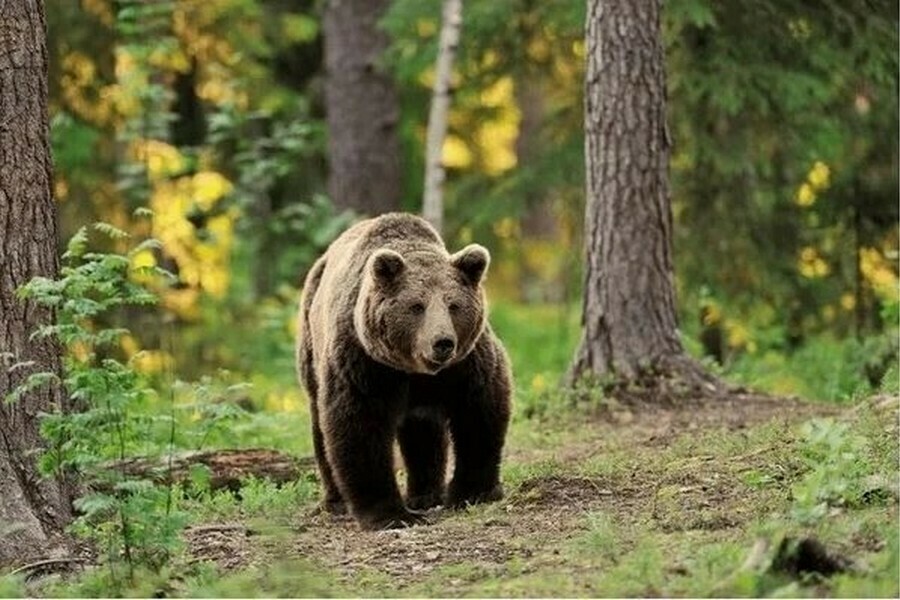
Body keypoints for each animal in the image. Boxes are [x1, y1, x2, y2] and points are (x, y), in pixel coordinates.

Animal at [296, 213, 512, 530]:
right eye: (417, 306)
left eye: (453, 305)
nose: (442, 343)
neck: (414, 369)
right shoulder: (365, 363)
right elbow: (360, 426)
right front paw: (389, 514)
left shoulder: (465, 364)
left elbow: (479, 413)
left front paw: (473, 492)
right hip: (311, 344)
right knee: (320, 424)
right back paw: (335, 501)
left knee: (423, 431)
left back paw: (426, 494)